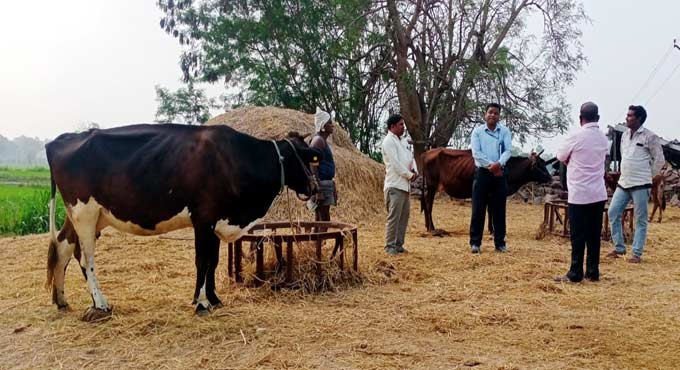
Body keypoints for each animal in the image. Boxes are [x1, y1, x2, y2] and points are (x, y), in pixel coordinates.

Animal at [45, 124, 322, 320]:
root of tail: (59, 140)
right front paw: (201, 303)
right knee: (85, 258)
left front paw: (214, 299)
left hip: (86, 216)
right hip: (85, 213)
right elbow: (202, 261)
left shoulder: (216, 221)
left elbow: (213, 261)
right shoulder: (204, 219)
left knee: (63, 247)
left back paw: (61, 300)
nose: (314, 188)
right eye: (307, 158)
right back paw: (101, 305)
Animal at [422, 148, 556, 231]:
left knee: (426, 203)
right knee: (428, 205)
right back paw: (432, 228)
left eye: (544, 163)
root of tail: (427, 152)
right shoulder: (492, 193)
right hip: (432, 185)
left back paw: (428, 226)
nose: (550, 178)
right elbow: (491, 211)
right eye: (539, 165)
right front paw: (492, 229)